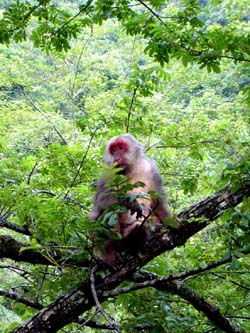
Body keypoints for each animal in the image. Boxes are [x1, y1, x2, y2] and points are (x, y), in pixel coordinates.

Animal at [88, 132, 172, 264]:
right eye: (113, 149)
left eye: (121, 147)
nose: (117, 158)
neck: (129, 170)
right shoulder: (106, 172)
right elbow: (101, 201)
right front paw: (131, 203)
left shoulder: (152, 170)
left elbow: (159, 204)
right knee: (108, 212)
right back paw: (110, 253)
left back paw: (137, 238)